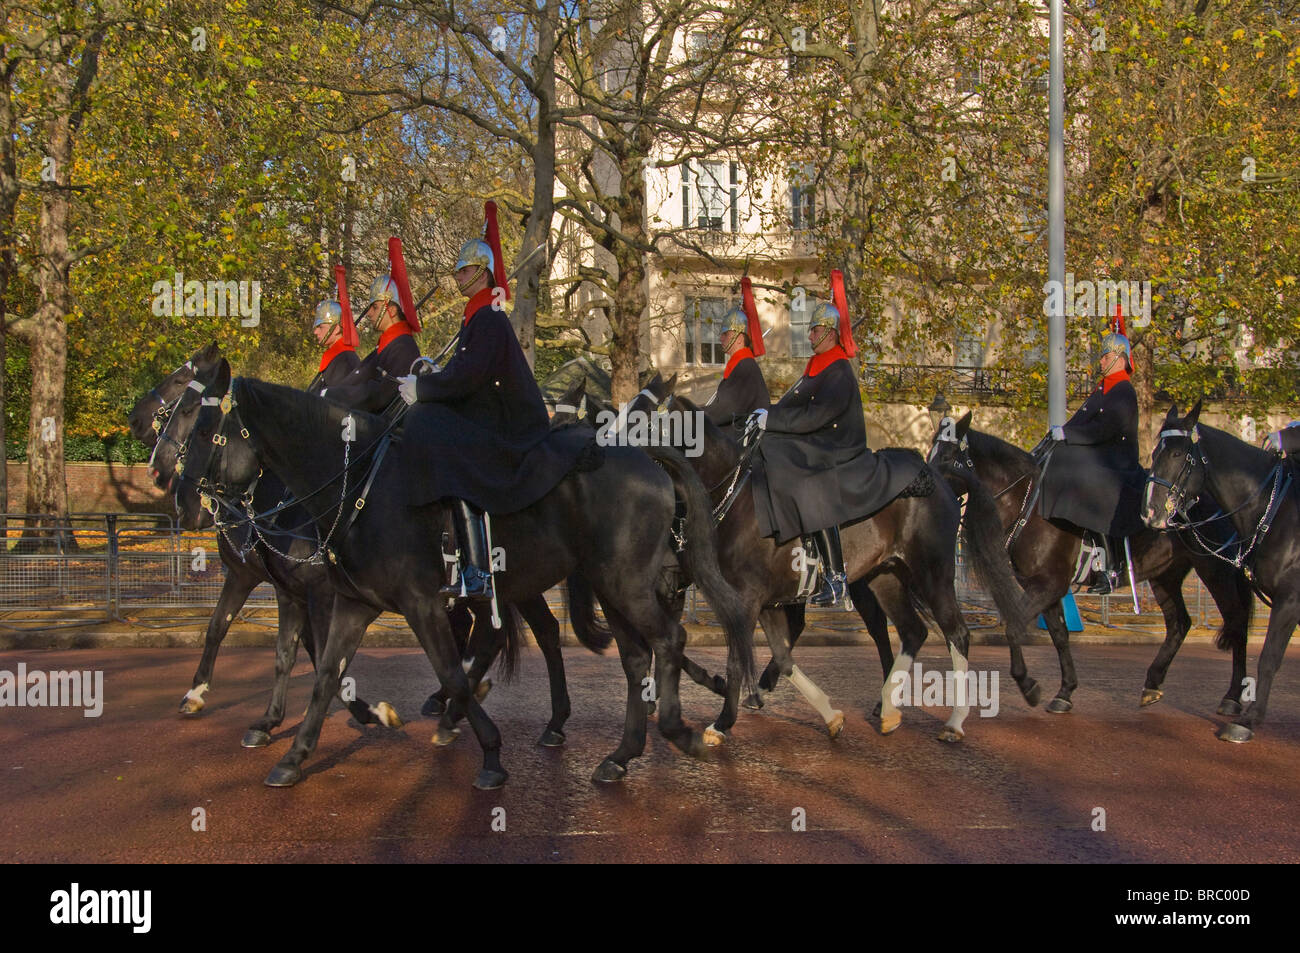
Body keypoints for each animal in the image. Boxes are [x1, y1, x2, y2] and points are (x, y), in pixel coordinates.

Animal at [176, 361, 759, 785]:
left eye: (210, 431)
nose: (182, 501)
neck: (359, 483)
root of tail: (645, 458)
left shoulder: (419, 602)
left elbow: (451, 671)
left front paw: (491, 755)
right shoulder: (352, 602)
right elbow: (323, 675)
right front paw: (296, 756)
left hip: (624, 583)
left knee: (668, 639)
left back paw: (681, 729)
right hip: (608, 586)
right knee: (635, 655)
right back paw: (620, 754)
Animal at [930, 410, 1253, 712]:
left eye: (946, 456)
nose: (925, 486)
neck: (1027, 504)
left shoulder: (1048, 585)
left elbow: (1015, 626)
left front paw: (1028, 685)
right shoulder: (1045, 587)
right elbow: (1059, 635)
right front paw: (1064, 692)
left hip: (1215, 570)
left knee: (1237, 622)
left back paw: (1232, 697)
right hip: (1166, 575)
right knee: (1179, 624)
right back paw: (1152, 684)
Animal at [1144, 400, 1294, 743]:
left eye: (1178, 454)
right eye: (1155, 452)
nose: (1151, 512)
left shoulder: (1289, 599)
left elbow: (1269, 657)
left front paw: (1248, 721)